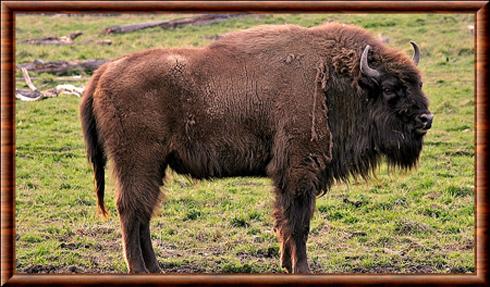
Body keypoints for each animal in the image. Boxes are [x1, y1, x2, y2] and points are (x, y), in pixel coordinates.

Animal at [80, 22, 432, 274]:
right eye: (390, 89)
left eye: (418, 82)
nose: (426, 119)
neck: (334, 77)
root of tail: (103, 72)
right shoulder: (299, 169)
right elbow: (298, 223)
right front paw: (302, 269)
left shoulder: (289, 174)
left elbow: (287, 219)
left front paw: (287, 264)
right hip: (138, 162)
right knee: (131, 210)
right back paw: (140, 268)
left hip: (154, 166)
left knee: (143, 212)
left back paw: (155, 267)